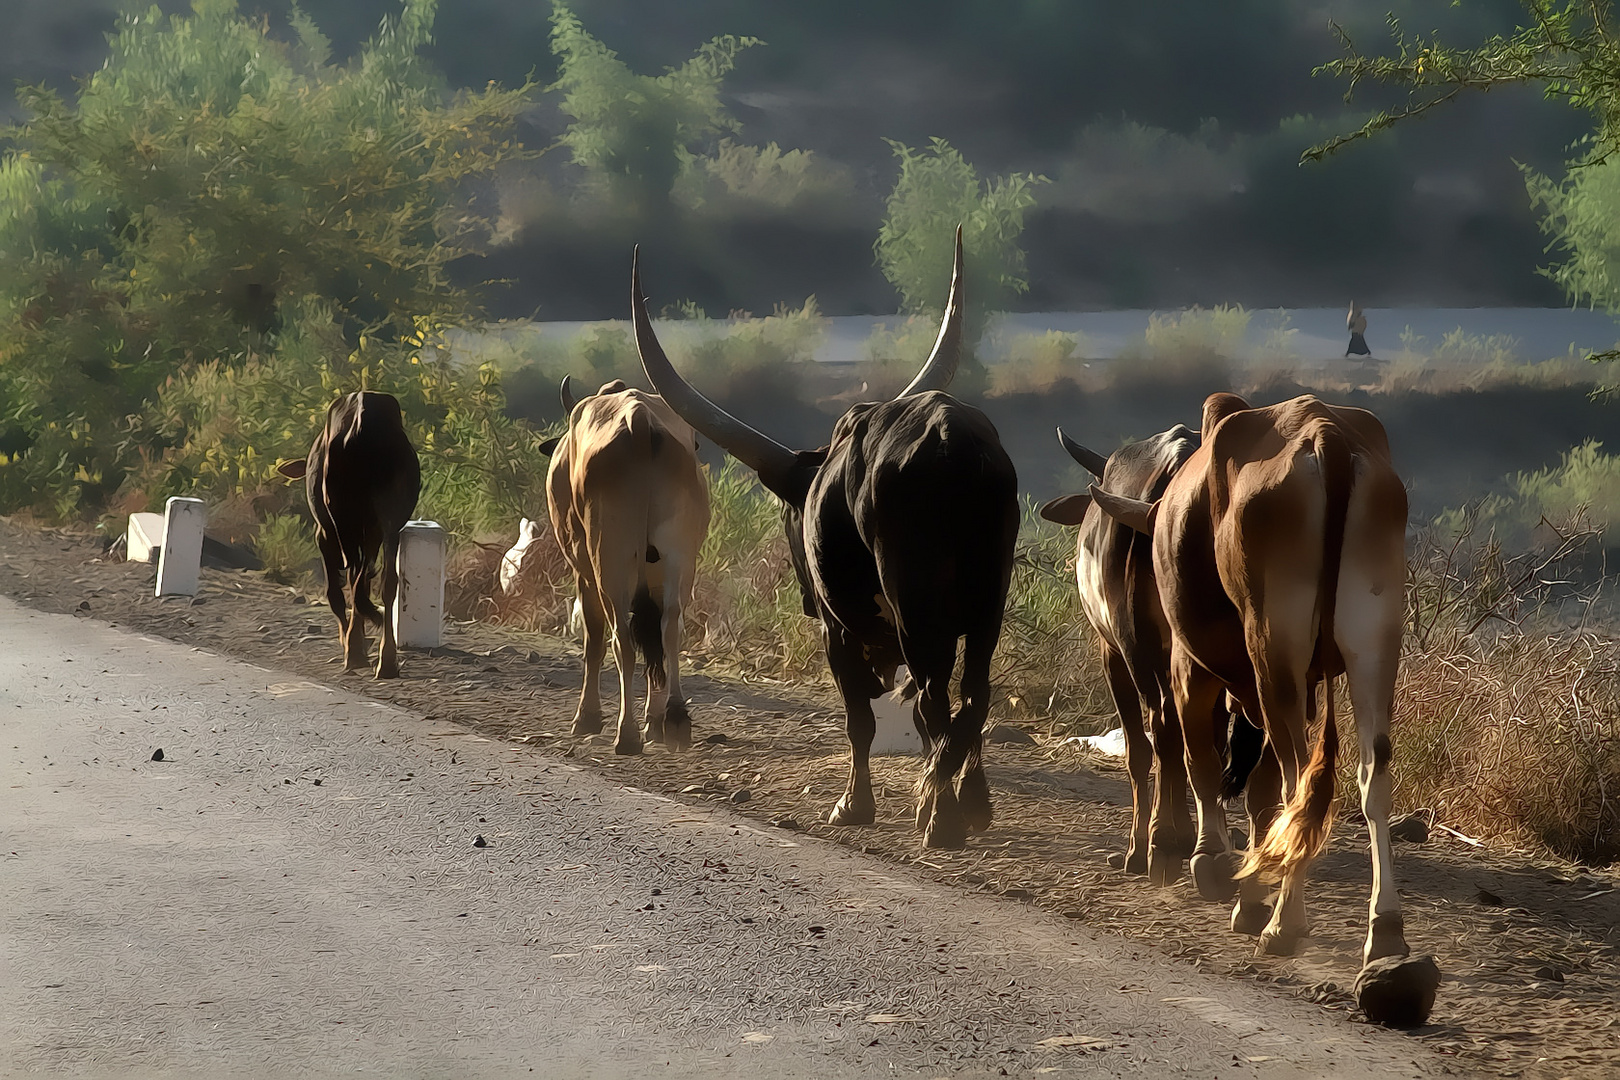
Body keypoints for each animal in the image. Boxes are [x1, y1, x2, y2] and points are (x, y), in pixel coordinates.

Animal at [278, 390, 421, 676]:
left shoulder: (324, 533)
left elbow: (336, 592)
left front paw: (351, 642)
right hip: (388, 521)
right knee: (385, 581)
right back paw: (386, 659)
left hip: (346, 522)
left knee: (355, 580)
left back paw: (357, 649)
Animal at [537, 375, 709, 757]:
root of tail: (639, 419)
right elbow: (656, 643)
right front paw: (655, 721)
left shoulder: (583, 570)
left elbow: (594, 640)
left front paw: (587, 717)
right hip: (679, 558)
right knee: (670, 629)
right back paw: (675, 718)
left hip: (609, 561)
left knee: (621, 640)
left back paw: (626, 733)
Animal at [628, 236, 1010, 854]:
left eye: (789, 516)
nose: (806, 598)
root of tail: (950, 439)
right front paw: (968, 801)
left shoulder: (838, 633)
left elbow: (861, 718)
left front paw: (854, 806)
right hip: (986, 608)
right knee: (975, 696)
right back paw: (961, 804)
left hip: (916, 611)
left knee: (936, 698)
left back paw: (939, 815)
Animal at [1088, 390, 1432, 1023]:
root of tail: (1325, 434)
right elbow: (1261, 792)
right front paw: (1246, 888)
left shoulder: (1191, 669)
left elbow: (1203, 762)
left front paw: (1212, 864)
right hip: (1373, 641)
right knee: (1368, 775)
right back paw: (1385, 929)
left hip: (1275, 648)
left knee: (1301, 780)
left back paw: (1285, 923)